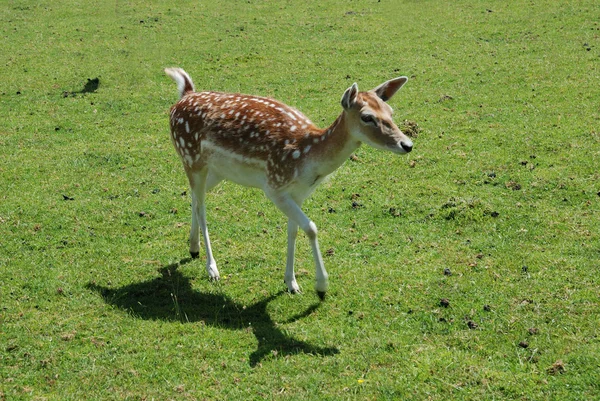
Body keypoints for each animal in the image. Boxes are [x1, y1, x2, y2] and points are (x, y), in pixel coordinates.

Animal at [164, 68, 412, 300]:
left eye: (390, 112)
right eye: (367, 117)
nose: (407, 144)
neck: (307, 160)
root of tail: (183, 96)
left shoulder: (299, 193)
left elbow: (293, 230)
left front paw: (291, 283)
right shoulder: (274, 186)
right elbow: (311, 227)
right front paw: (321, 286)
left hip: (216, 171)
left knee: (195, 197)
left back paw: (193, 247)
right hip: (190, 157)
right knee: (201, 206)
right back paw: (212, 268)